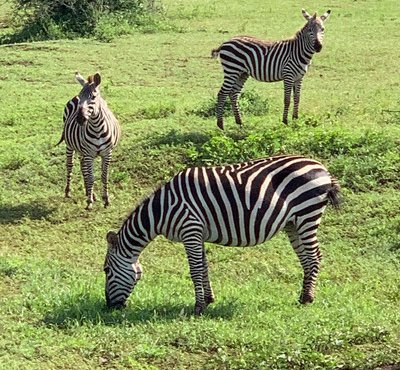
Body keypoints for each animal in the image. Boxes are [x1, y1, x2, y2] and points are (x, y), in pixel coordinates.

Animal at [57, 72, 120, 210]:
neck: (97, 129)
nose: (80, 119)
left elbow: (104, 176)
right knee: (70, 165)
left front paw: (106, 199)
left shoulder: (107, 153)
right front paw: (89, 202)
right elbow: (91, 177)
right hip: (70, 145)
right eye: (81, 97)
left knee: (82, 167)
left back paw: (89, 192)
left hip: (82, 150)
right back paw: (69, 191)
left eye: (93, 96)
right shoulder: (89, 154)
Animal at [104, 153, 340, 316]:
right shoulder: (197, 234)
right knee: (307, 258)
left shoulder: (190, 229)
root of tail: (323, 169)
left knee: (314, 257)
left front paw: (198, 307)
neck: (163, 209)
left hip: (307, 215)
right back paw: (303, 297)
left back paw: (308, 298)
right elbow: (203, 267)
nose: (109, 306)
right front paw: (208, 300)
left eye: (106, 270)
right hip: (294, 223)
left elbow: (195, 270)